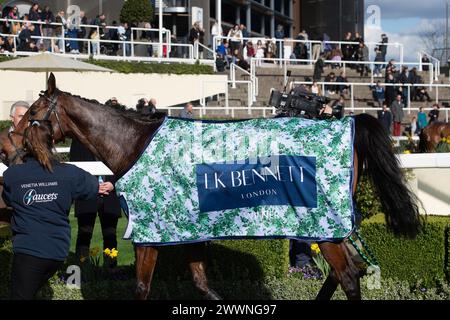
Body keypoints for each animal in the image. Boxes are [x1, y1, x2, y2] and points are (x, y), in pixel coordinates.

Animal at [3, 74, 422, 300]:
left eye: (34, 113)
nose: (10, 149)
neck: (135, 145)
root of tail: (347, 122)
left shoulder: (150, 234)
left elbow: (142, 287)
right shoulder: (189, 231)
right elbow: (204, 286)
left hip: (324, 223)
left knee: (348, 275)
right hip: (331, 227)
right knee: (345, 271)